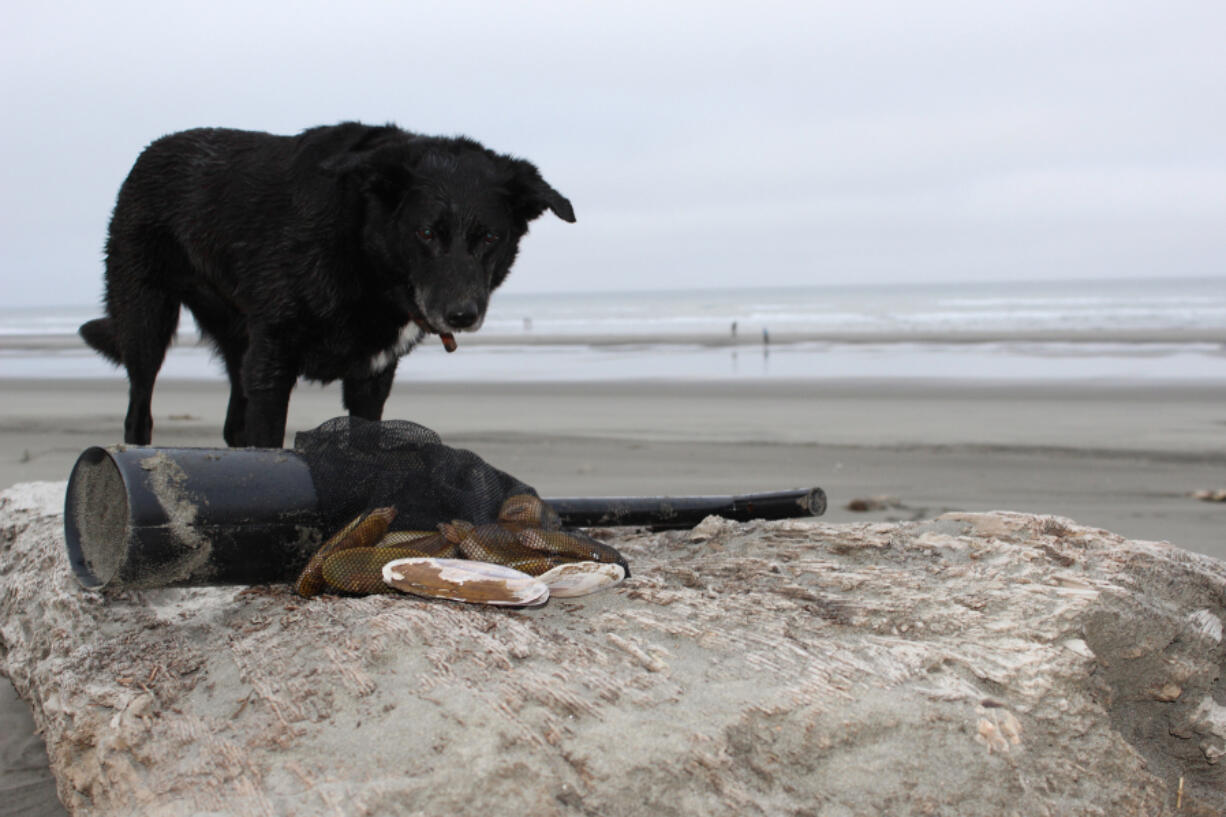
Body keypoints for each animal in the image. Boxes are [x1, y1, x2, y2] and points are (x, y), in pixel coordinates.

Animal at [81, 122, 573, 446]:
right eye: (426, 233)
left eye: (490, 237)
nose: (461, 314)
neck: (365, 256)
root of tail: (153, 149)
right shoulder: (272, 364)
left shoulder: (371, 380)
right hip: (147, 322)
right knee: (139, 411)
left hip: (238, 342)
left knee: (233, 426)